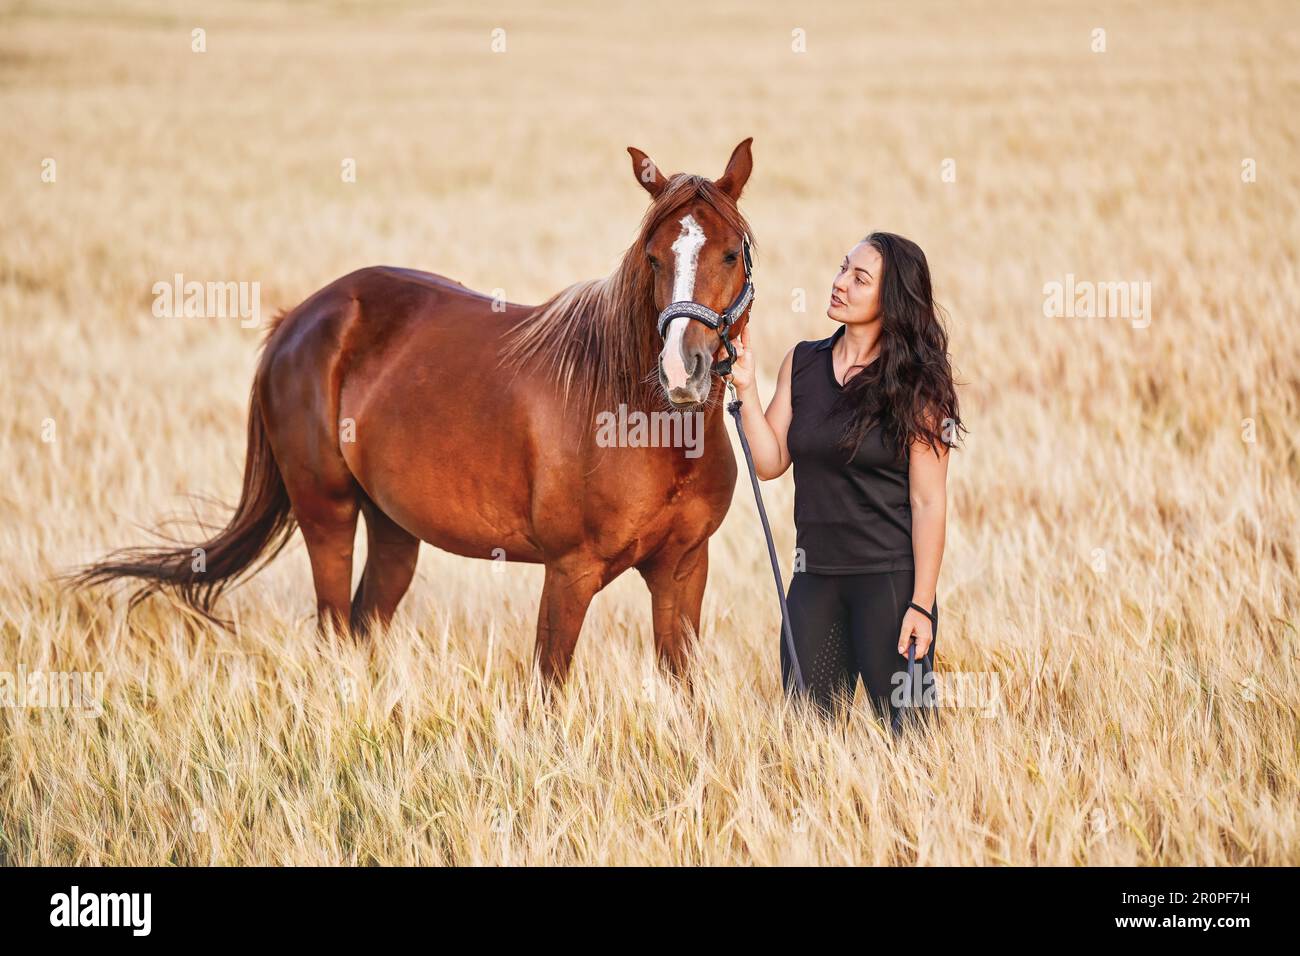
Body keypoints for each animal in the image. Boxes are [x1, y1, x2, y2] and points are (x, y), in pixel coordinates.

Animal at [73, 136, 759, 686]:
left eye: (731, 253)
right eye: (653, 257)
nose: (682, 371)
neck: (647, 425)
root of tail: (298, 320)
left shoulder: (682, 569)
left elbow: (683, 689)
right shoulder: (570, 571)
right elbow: (549, 686)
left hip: (394, 527)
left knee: (361, 623)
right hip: (327, 512)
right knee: (332, 626)